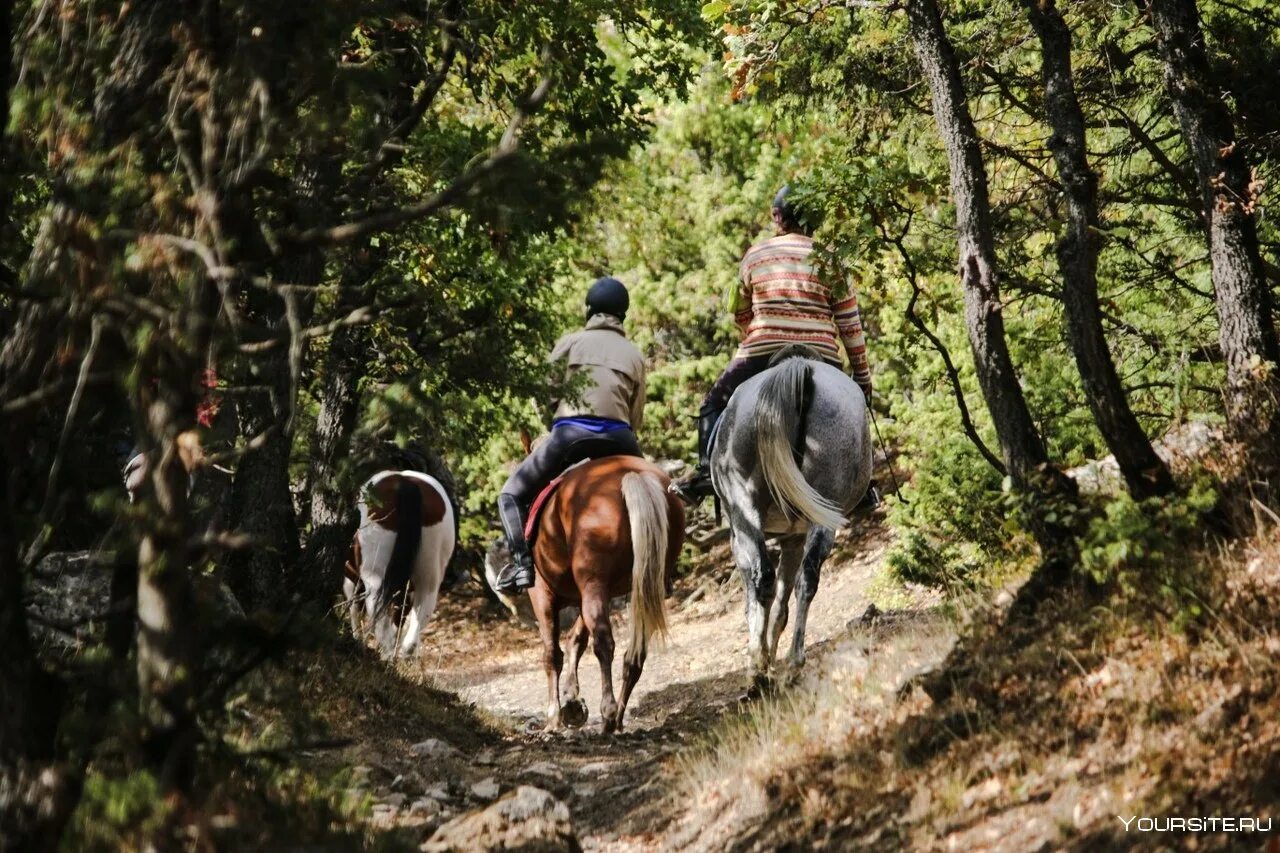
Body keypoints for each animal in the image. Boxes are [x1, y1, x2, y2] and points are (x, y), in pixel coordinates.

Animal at [345, 468, 455, 653]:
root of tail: (406, 483)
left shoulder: (351, 577)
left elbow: (354, 608)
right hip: (429, 576)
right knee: (415, 624)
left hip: (375, 575)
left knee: (381, 622)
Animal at [522, 455, 686, 727]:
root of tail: (631, 474)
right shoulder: (588, 596)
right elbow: (576, 639)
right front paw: (572, 700)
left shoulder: (541, 594)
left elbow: (552, 653)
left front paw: (554, 716)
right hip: (642, 586)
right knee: (635, 654)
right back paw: (616, 717)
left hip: (593, 584)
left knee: (603, 642)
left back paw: (608, 711)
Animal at [716, 343, 875, 681]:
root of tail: (800, 369)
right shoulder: (792, 539)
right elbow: (782, 600)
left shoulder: (739, 540)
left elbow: (753, 598)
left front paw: (763, 653)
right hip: (826, 504)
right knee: (807, 578)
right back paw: (792, 661)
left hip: (745, 508)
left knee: (762, 577)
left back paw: (758, 669)